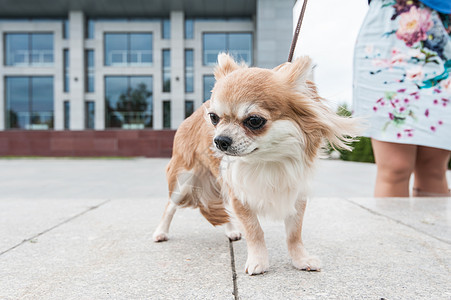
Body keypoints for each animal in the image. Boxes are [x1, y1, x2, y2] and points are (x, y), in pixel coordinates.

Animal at [154, 53, 360, 274]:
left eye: (254, 121)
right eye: (214, 118)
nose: (219, 140)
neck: (268, 160)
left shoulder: (296, 194)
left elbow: (294, 233)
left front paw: (300, 259)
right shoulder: (239, 194)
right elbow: (254, 230)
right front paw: (258, 261)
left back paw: (231, 230)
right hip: (183, 180)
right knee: (170, 206)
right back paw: (160, 232)